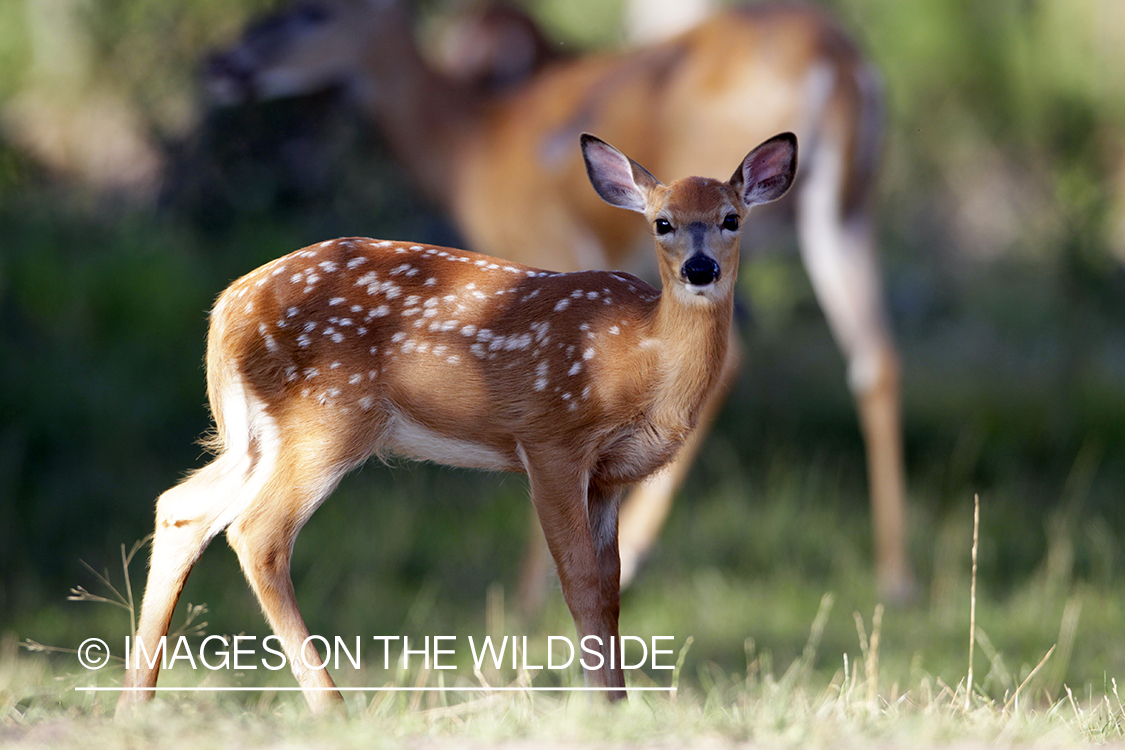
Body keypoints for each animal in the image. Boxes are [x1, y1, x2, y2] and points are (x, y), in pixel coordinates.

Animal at [118, 132, 796, 715]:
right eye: (663, 222)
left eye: (732, 218)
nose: (700, 269)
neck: (643, 359)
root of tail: (224, 310)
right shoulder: (550, 436)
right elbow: (577, 581)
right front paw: (605, 710)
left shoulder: (606, 476)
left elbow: (608, 592)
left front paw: (616, 706)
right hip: (327, 417)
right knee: (257, 532)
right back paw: (334, 710)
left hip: (257, 435)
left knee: (181, 506)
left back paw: (134, 707)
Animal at [207, 0, 913, 602]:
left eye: (313, 10)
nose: (224, 65)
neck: (472, 146)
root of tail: (840, 65)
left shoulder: (547, 251)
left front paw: (529, 593)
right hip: (849, 209)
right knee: (876, 357)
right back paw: (894, 579)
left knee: (747, 357)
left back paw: (631, 556)